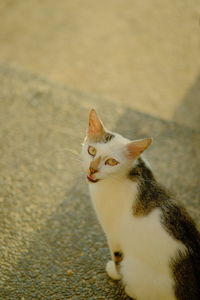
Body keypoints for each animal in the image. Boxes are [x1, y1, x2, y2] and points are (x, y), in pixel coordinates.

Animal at [81, 109, 200, 298]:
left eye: (112, 162)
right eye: (91, 150)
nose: (92, 169)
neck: (130, 172)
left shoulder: (114, 233)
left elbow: (116, 255)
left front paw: (115, 272)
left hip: (134, 267)